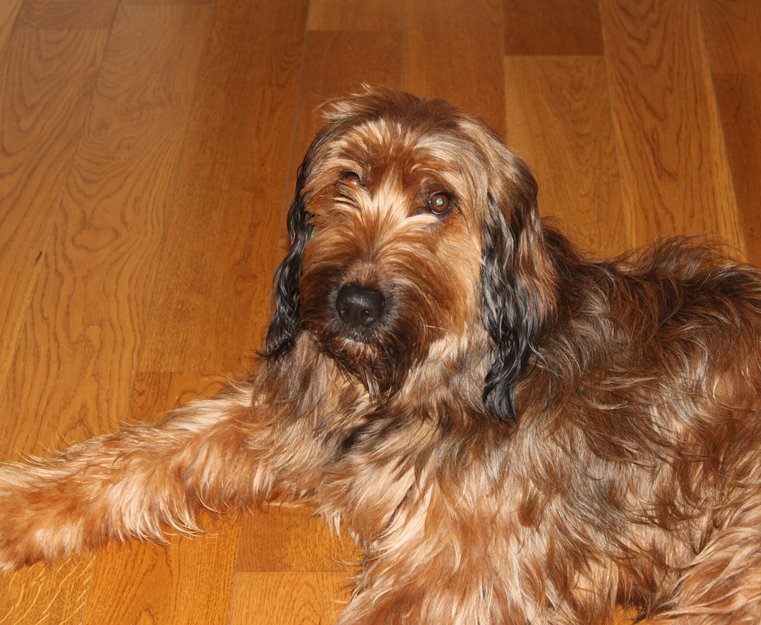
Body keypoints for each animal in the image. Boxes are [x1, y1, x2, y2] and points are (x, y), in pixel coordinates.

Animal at [2, 87, 761, 625]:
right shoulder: (287, 417)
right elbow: (139, 456)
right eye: (348, 179)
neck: (421, 382)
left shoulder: (451, 575)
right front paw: (16, 503)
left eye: (439, 201)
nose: (355, 304)